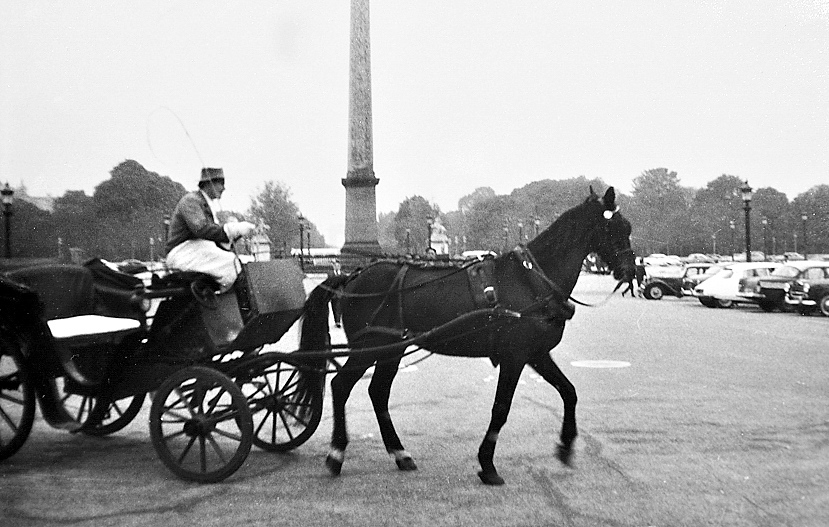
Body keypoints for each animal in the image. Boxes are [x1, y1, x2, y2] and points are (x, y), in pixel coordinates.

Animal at [296, 187, 632, 486]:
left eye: (627, 227)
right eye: (616, 227)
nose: (629, 271)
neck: (531, 280)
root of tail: (351, 275)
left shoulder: (535, 353)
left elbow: (569, 392)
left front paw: (565, 446)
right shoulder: (514, 357)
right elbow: (501, 409)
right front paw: (488, 465)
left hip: (391, 349)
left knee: (377, 392)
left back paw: (399, 453)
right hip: (369, 347)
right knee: (341, 386)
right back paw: (336, 453)